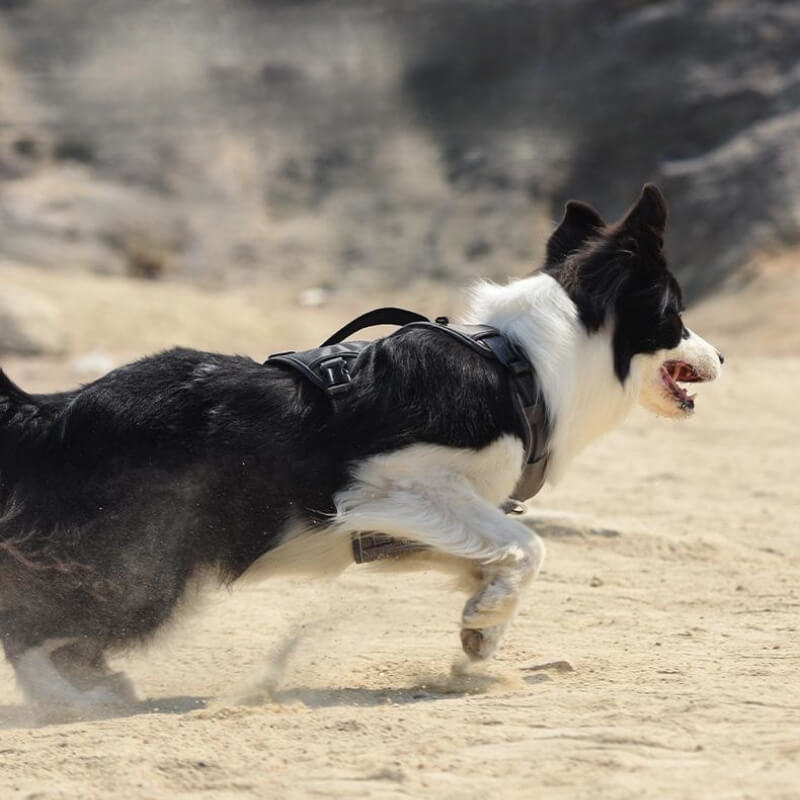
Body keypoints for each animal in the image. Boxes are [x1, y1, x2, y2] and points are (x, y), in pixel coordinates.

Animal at [0, 183, 724, 708]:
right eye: (677, 314)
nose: (721, 356)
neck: (516, 363)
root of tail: (55, 410)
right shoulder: (393, 481)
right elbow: (528, 543)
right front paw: (488, 618)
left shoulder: (398, 523)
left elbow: (494, 555)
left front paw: (481, 627)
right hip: (147, 558)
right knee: (29, 622)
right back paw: (69, 699)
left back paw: (91, 683)